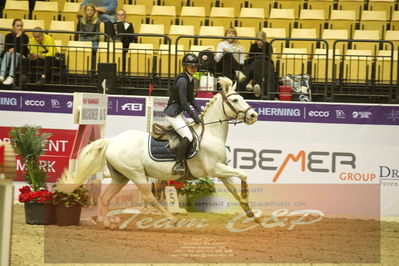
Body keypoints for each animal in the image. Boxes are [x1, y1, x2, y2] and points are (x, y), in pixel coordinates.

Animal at [57, 76, 260, 227]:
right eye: (235, 100)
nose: (253, 115)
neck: (210, 134)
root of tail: (112, 141)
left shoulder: (221, 171)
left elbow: (233, 188)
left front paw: (250, 212)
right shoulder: (214, 169)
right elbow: (243, 175)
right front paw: (247, 200)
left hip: (120, 176)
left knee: (105, 197)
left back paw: (107, 224)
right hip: (136, 174)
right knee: (149, 197)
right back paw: (172, 219)